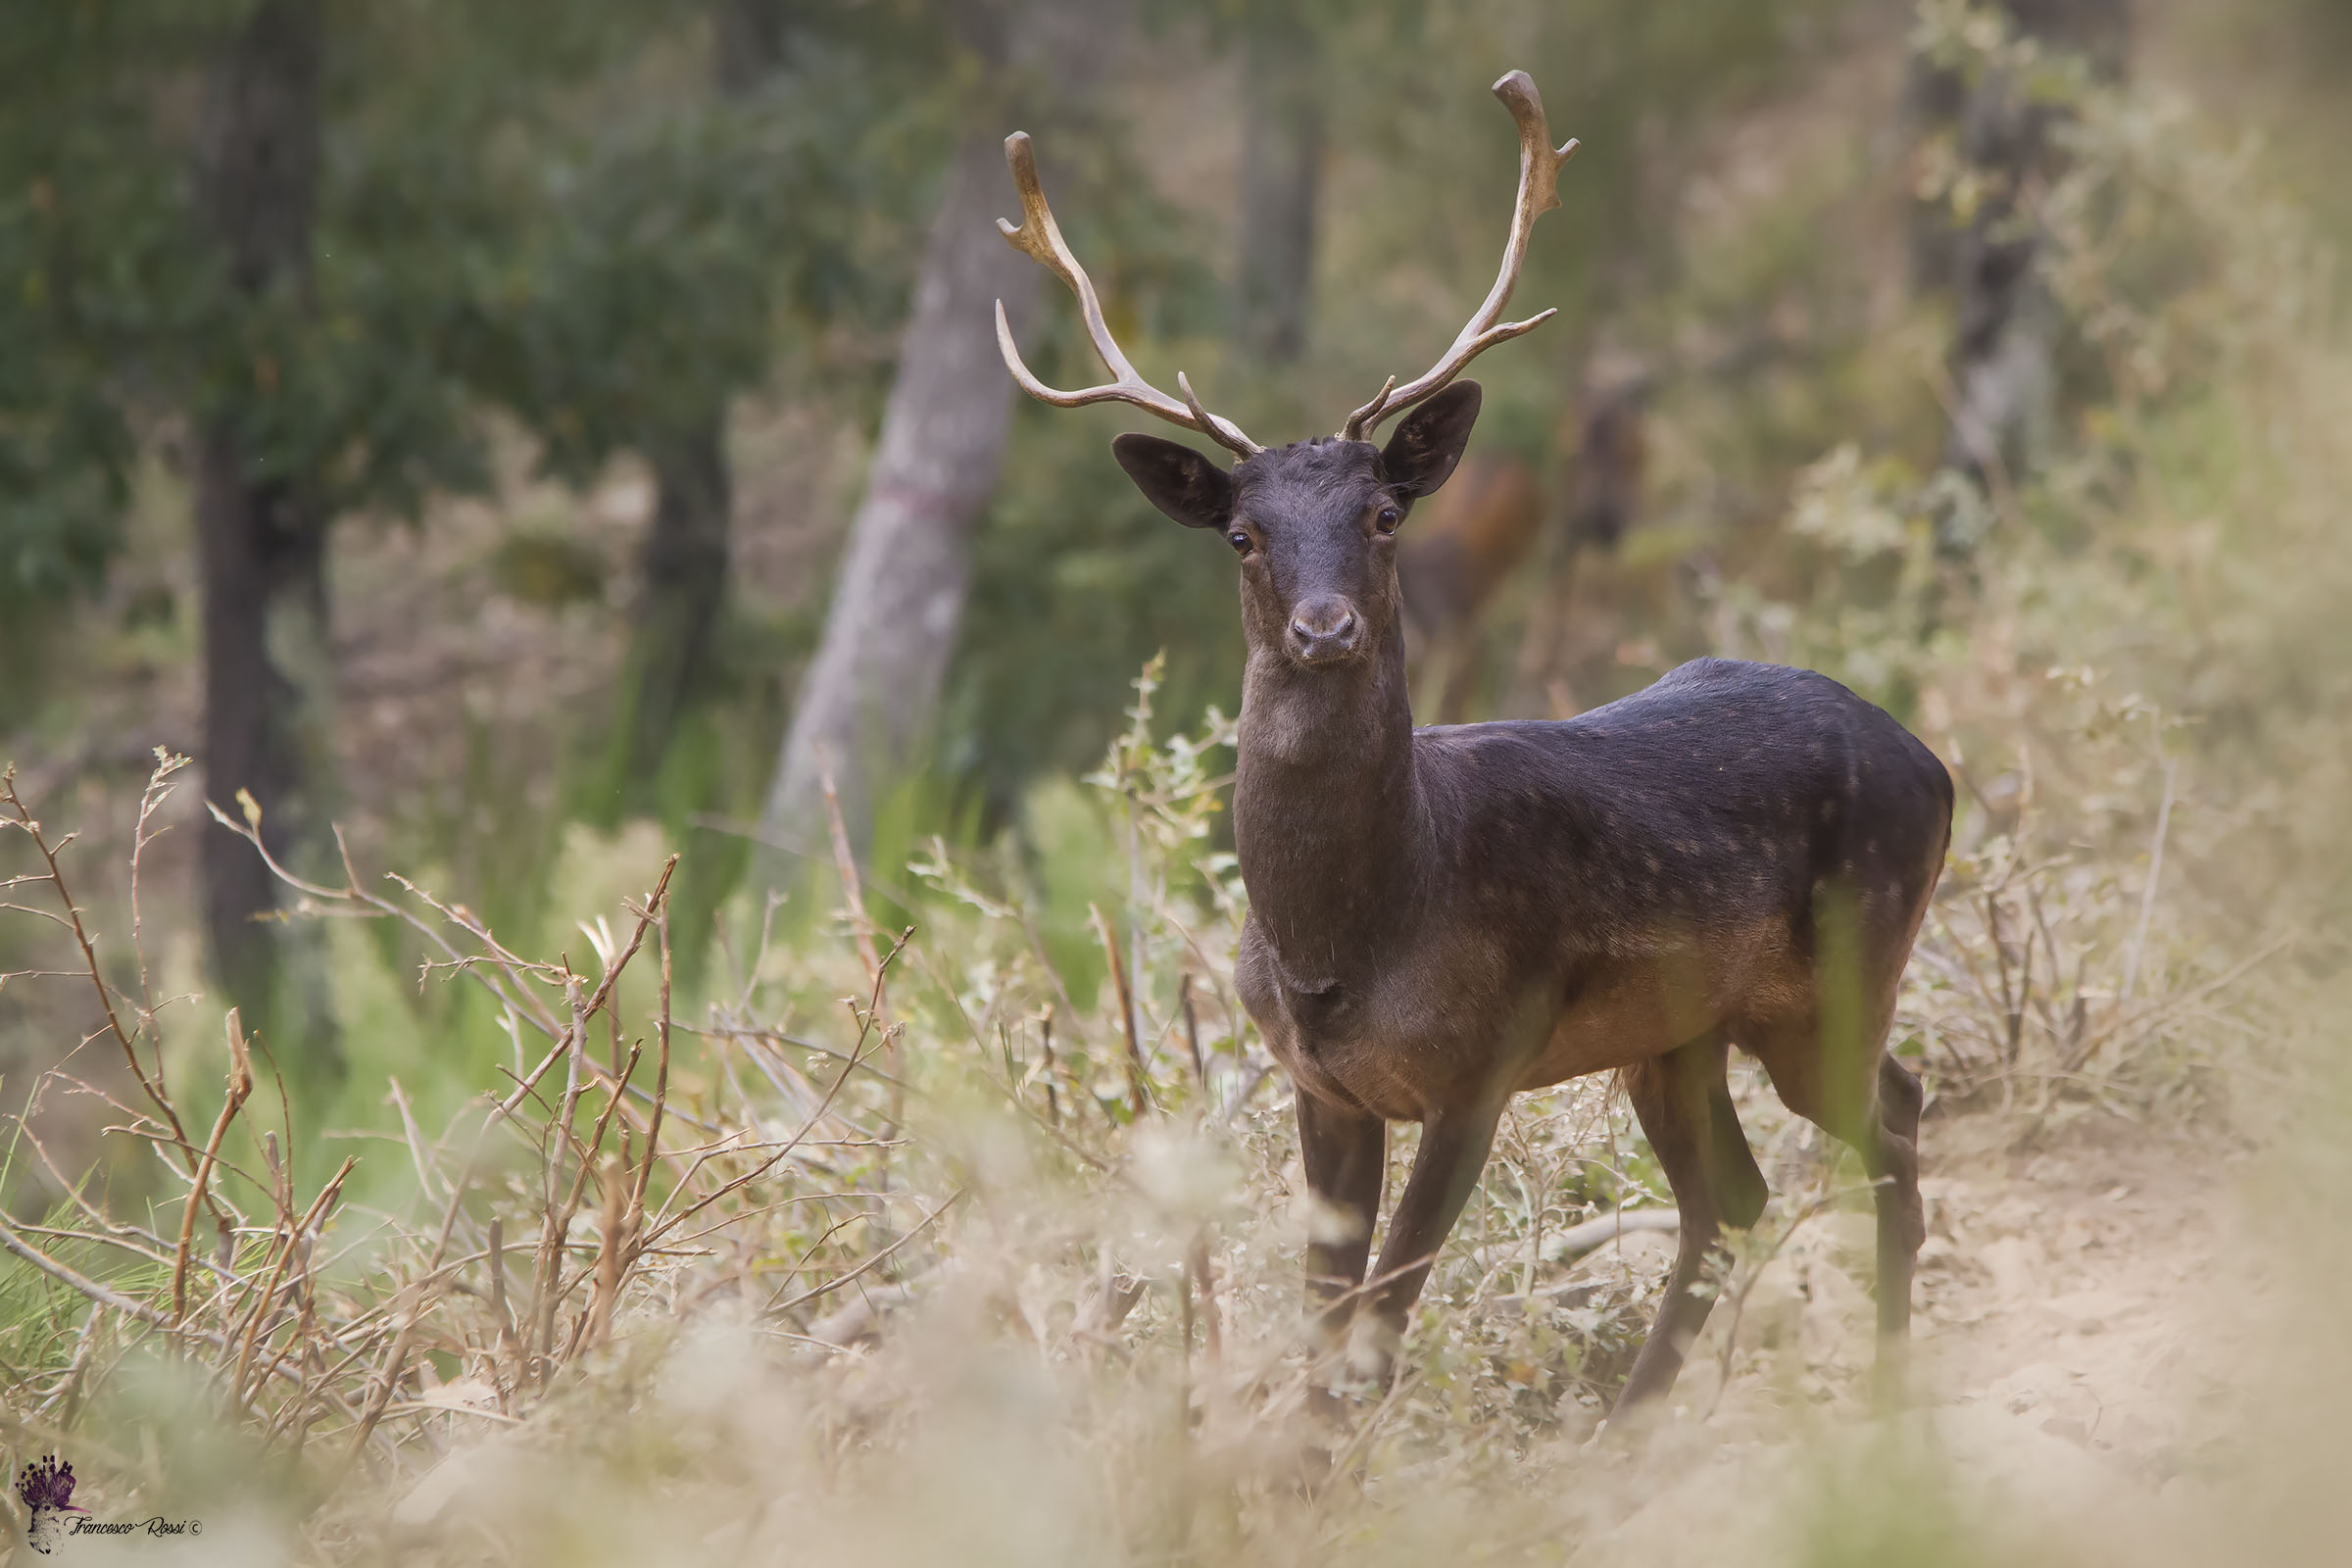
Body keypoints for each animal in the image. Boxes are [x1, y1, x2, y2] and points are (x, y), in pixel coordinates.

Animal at [993, 70, 1953, 1417]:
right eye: (1241, 534)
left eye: (1385, 512)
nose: (1325, 625)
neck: (1349, 932)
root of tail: (1931, 759)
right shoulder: (1321, 1083)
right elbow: (1326, 1321)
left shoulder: (1481, 1062)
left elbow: (1379, 1330)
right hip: (1677, 1031)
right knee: (1736, 1195)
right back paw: (1627, 1426)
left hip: (1848, 964)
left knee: (1896, 1118)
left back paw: (1883, 1388)